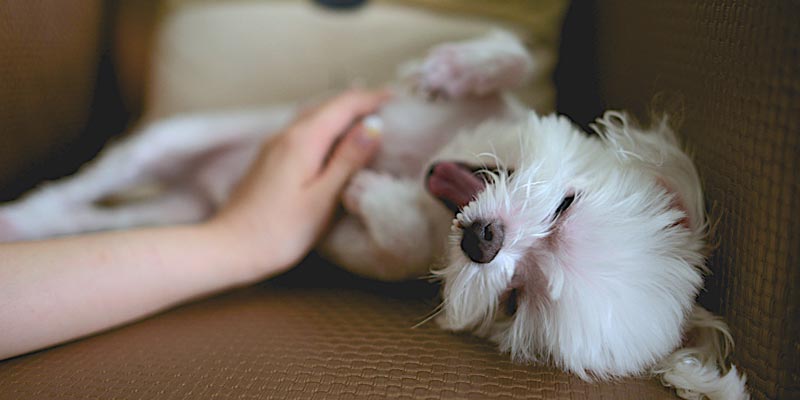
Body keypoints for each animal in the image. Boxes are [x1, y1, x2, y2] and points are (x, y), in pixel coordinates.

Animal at [0, 30, 747, 399]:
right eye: (566, 207)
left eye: (515, 299)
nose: (484, 239)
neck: (436, 161)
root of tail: (204, 187)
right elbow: (511, 55)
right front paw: (457, 69)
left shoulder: (375, 252)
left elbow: (389, 241)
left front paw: (371, 193)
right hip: (174, 140)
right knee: (108, 173)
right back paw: (26, 211)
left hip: (172, 215)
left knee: (93, 217)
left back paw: (25, 225)